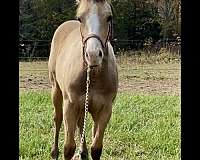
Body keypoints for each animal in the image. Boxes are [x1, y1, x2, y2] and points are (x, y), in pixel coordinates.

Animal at [47, 0, 118, 159]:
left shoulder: (105, 109)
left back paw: (83, 152)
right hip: (56, 90)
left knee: (81, 122)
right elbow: (68, 148)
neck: (93, 74)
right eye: (80, 18)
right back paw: (54, 152)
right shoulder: (70, 106)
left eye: (109, 17)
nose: (93, 55)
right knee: (57, 118)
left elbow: (96, 148)